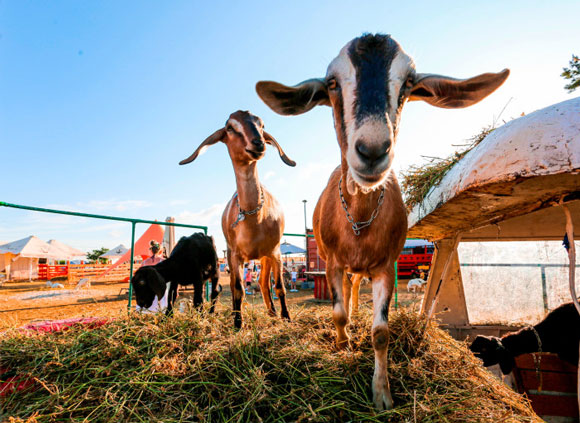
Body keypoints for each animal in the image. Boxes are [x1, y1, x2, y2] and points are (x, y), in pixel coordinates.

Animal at [179, 111, 294, 330]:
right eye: (230, 128)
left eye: (262, 125)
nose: (258, 143)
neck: (254, 217)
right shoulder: (235, 255)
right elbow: (238, 288)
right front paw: (238, 323)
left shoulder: (275, 252)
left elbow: (279, 286)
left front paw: (287, 318)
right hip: (231, 257)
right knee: (235, 285)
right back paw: (236, 313)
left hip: (264, 257)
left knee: (263, 283)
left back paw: (273, 312)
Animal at [258, 33, 508, 410]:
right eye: (332, 83)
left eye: (408, 83)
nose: (372, 150)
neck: (358, 222)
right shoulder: (332, 262)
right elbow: (338, 313)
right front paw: (343, 346)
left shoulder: (386, 267)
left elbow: (380, 332)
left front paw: (382, 394)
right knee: (346, 295)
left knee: (354, 289)